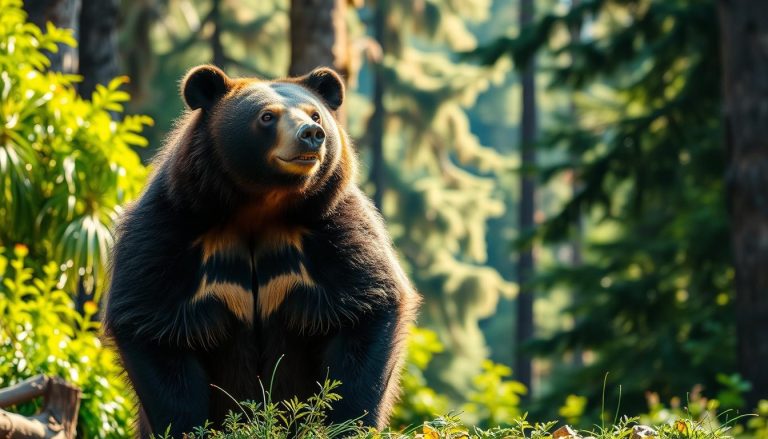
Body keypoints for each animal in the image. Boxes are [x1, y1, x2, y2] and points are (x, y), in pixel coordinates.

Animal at [103, 65, 419, 438]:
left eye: (315, 114)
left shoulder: (331, 226)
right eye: (267, 116)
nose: (311, 135)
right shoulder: (171, 227)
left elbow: (365, 305)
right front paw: (189, 426)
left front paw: (344, 423)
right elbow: (151, 320)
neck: (261, 205)